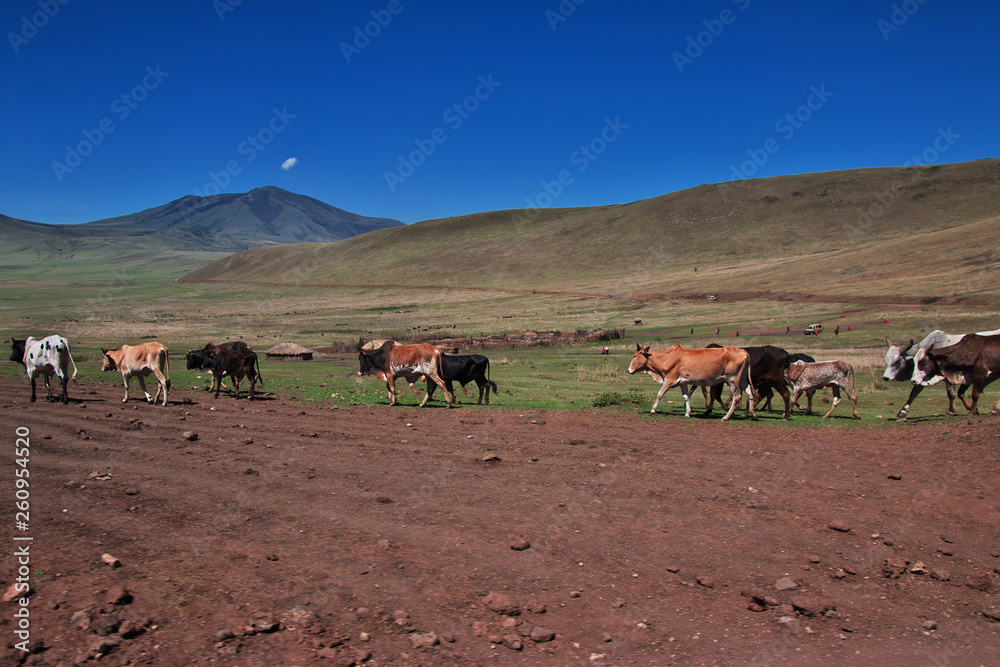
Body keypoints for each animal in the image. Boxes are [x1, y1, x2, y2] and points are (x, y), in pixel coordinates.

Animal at [624, 344, 752, 422]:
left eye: (635, 356)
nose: (629, 370)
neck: (666, 357)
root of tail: (744, 352)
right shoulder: (683, 382)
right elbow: (686, 397)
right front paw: (687, 413)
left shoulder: (669, 381)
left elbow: (660, 394)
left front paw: (652, 410)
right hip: (743, 380)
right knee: (750, 393)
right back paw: (749, 413)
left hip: (733, 381)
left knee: (737, 397)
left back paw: (726, 417)